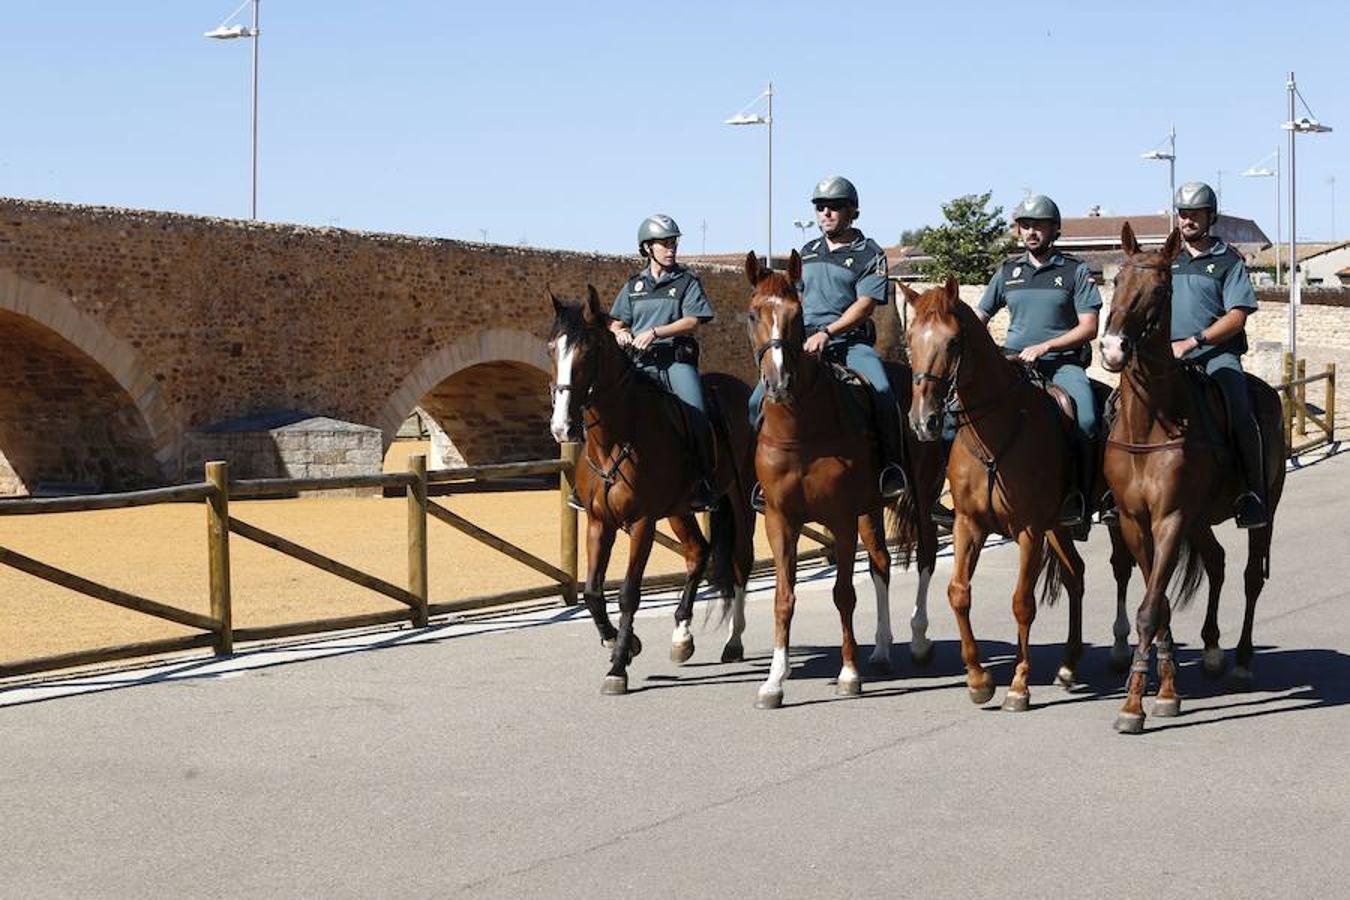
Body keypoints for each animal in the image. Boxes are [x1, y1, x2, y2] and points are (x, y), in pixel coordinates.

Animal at [548, 288, 761, 696]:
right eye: (553, 348)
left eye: (589, 351)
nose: (562, 426)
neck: (615, 438)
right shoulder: (599, 522)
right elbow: (593, 592)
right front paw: (619, 640)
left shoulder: (642, 523)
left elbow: (629, 593)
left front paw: (618, 665)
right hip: (680, 509)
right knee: (697, 553)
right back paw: (682, 636)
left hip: (740, 499)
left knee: (740, 561)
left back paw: (734, 641)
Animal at [739, 249, 939, 707]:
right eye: (754, 314)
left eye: (796, 315)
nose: (778, 383)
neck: (801, 428)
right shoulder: (780, 519)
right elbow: (783, 597)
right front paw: (774, 681)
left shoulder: (841, 518)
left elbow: (843, 593)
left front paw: (849, 673)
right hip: (871, 509)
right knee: (881, 565)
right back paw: (882, 649)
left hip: (922, 495)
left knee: (926, 555)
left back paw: (918, 640)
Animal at [901, 275, 1134, 712]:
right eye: (910, 340)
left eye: (953, 342)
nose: (924, 421)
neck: (995, 434)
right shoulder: (968, 525)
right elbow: (958, 592)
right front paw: (978, 679)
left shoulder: (1028, 529)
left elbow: (1022, 602)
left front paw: (1019, 685)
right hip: (1058, 527)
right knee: (1076, 576)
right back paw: (1068, 665)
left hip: (1110, 522)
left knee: (1125, 570)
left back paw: (1121, 650)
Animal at [1096, 221, 1285, 734]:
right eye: (1116, 281)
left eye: (1161, 290)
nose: (1113, 348)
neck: (1151, 422)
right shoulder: (1136, 522)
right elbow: (1156, 604)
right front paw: (1164, 692)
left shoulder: (1170, 519)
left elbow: (1150, 608)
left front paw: (1133, 706)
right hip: (1200, 520)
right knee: (1217, 563)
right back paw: (1215, 651)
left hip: (1263, 512)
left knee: (1250, 577)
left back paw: (1241, 661)